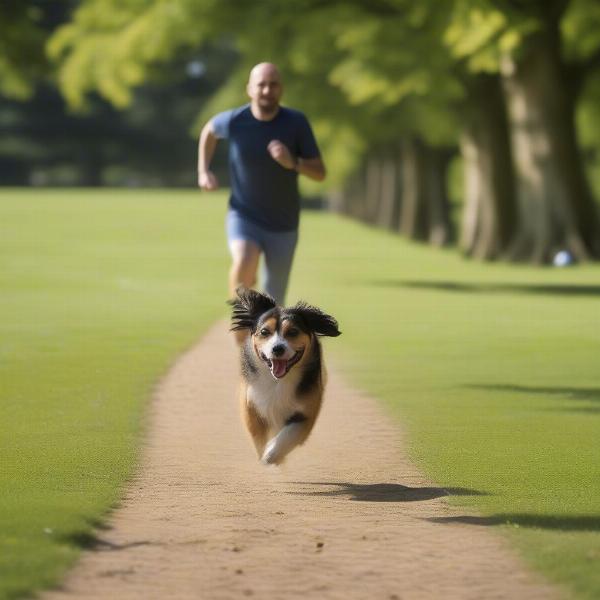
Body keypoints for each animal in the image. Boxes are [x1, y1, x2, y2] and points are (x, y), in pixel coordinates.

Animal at [231, 288, 342, 466]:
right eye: (264, 332)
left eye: (293, 332)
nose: (277, 349)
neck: (278, 382)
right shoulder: (250, 404)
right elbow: (257, 436)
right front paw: (265, 453)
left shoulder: (307, 412)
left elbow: (289, 434)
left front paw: (272, 453)